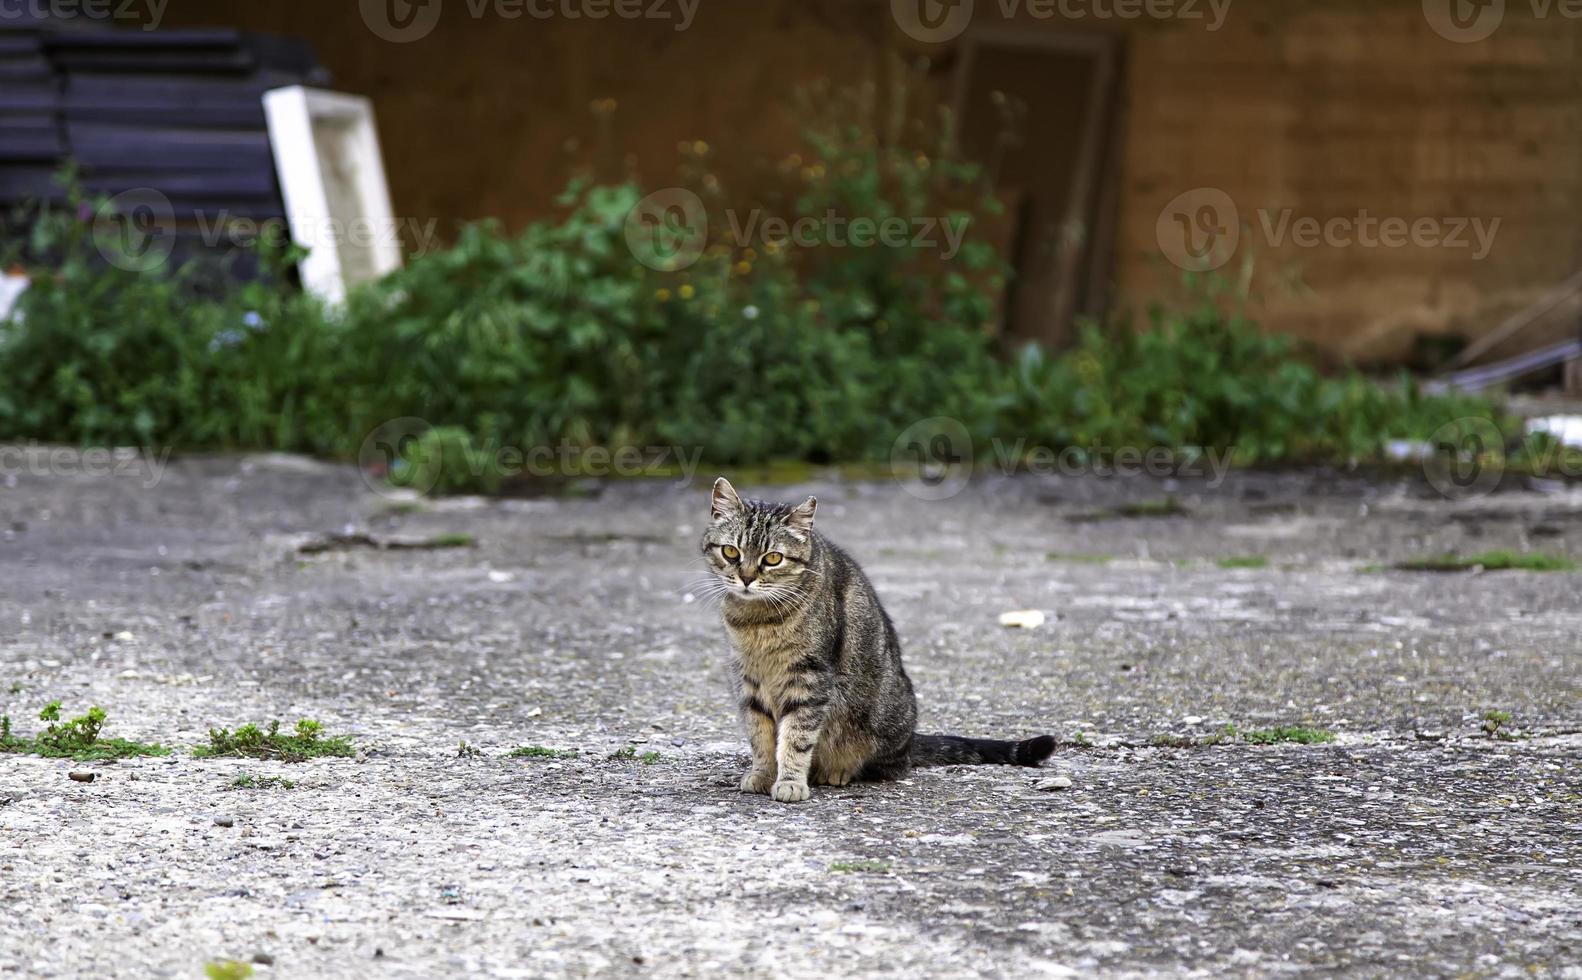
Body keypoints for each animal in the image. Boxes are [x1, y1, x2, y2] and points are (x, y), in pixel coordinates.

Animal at [702, 478, 1050, 804]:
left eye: (773, 558)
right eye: (731, 552)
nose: (747, 578)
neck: (757, 620)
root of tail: (911, 738)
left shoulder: (809, 677)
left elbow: (796, 737)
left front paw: (790, 781)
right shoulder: (748, 679)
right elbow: (759, 735)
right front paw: (763, 773)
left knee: (889, 766)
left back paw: (838, 771)